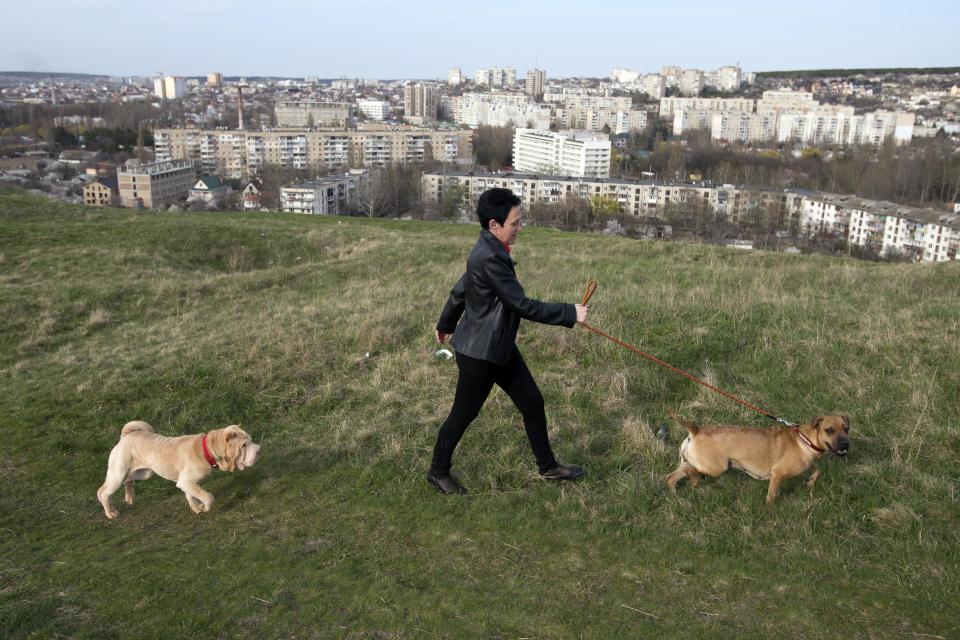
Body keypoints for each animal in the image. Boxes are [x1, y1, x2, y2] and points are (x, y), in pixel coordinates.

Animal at [96, 420, 260, 520]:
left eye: (251, 441)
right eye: (243, 445)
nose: (259, 450)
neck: (207, 449)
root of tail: (126, 435)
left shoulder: (186, 483)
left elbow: (191, 495)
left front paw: (196, 507)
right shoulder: (187, 481)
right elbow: (208, 496)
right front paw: (205, 507)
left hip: (144, 473)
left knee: (129, 480)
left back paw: (129, 497)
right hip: (118, 474)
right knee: (103, 492)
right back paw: (110, 512)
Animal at [664, 412, 852, 502]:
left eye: (846, 428)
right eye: (829, 430)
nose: (846, 444)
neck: (805, 440)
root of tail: (696, 430)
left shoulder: (808, 463)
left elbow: (817, 470)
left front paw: (810, 483)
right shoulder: (777, 475)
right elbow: (771, 496)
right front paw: (770, 509)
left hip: (692, 463)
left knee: (672, 476)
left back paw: (675, 493)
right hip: (715, 467)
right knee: (691, 471)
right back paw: (695, 480)